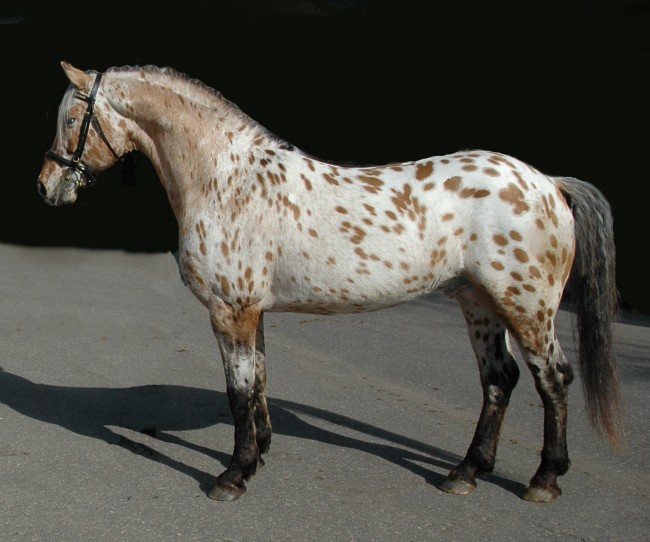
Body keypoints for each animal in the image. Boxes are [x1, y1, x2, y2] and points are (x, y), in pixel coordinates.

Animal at [37, 61, 624, 503]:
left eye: (73, 117)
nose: (46, 187)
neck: (225, 177)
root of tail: (548, 182)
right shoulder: (253, 310)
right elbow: (259, 383)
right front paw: (259, 457)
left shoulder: (231, 309)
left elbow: (238, 392)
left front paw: (233, 475)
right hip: (478, 303)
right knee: (500, 380)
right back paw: (465, 473)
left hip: (527, 308)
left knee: (553, 379)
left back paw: (544, 480)